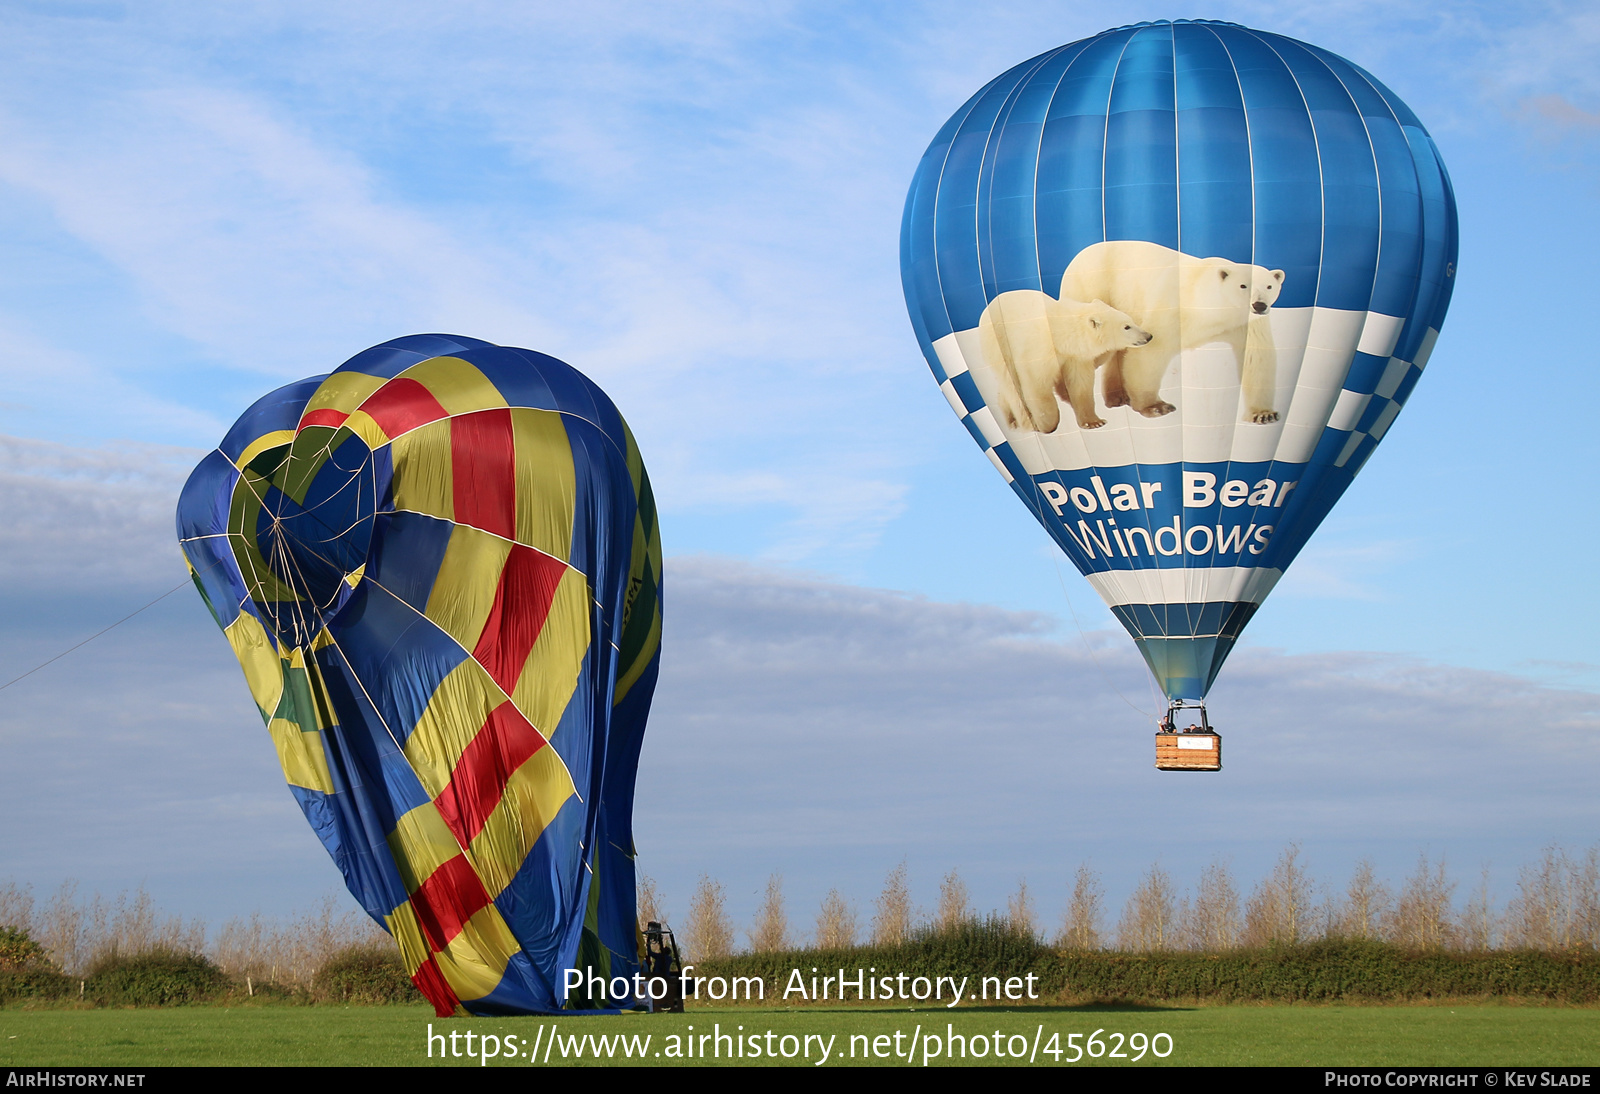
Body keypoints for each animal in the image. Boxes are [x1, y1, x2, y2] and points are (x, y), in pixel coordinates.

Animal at [972, 292, 1152, 435]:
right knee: (1011, 383)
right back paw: (1024, 422)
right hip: (998, 343)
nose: (1148, 336)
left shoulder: (1075, 356)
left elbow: (1080, 385)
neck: (1059, 333)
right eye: (1126, 326)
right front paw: (1046, 424)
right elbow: (1036, 383)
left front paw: (1094, 422)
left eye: (1131, 320)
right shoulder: (1039, 350)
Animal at [1062, 241, 1286, 425]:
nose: (1259, 305)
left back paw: (1118, 397)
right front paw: (1156, 407)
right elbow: (1151, 352)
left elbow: (1256, 357)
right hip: (1092, 289)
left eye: (1269, 286)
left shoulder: (1244, 324)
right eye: (1243, 285)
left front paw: (1264, 414)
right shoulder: (1172, 306)